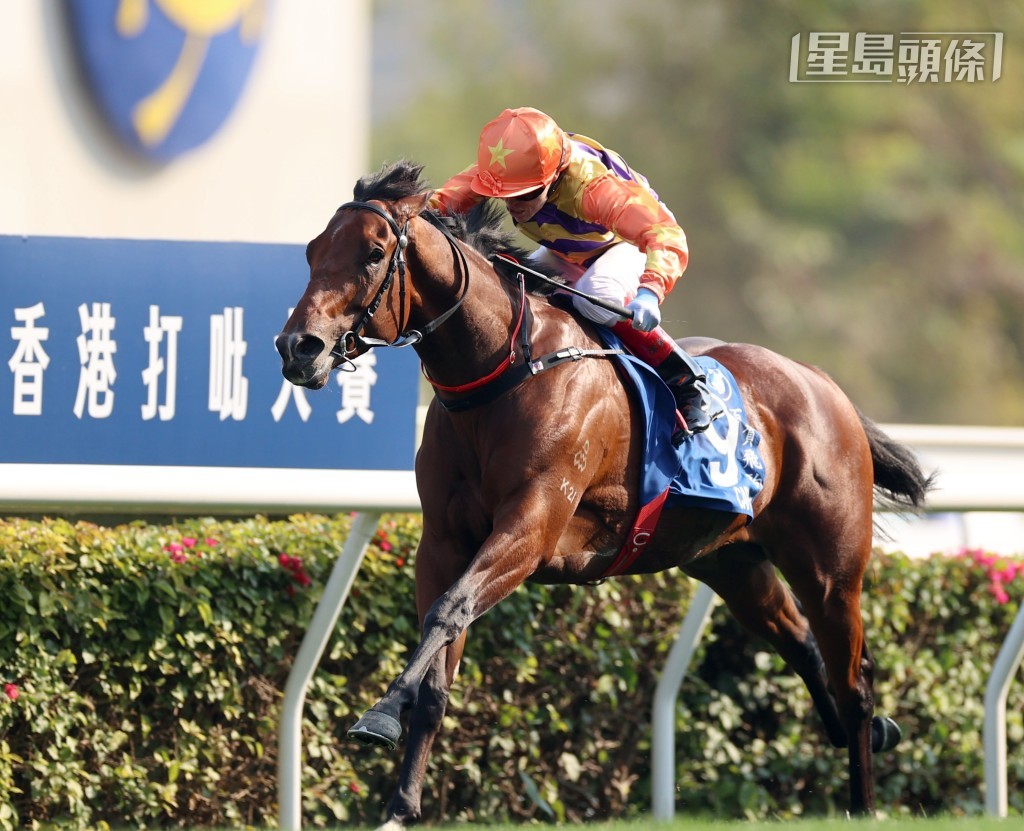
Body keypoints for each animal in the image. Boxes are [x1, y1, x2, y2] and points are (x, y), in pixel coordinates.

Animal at [275, 160, 931, 828]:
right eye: (311, 251)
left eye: (373, 254)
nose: (298, 347)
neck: (502, 370)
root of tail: (822, 382)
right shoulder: (443, 541)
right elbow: (438, 671)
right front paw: (400, 806)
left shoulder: (531, 528)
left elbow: (449, 610)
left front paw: (379, 716)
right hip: (731, 563)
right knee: (803, 646)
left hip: (830, 568)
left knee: (854, 679)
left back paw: (862, 799)